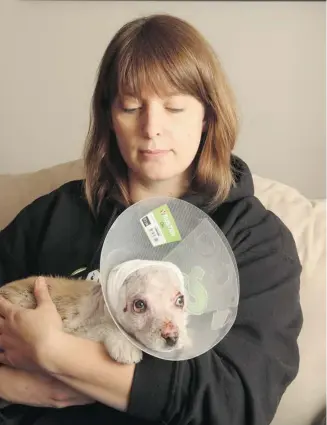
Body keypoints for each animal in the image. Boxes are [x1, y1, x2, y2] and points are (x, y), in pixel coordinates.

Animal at [0, 258, 190, 364]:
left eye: (180, 301)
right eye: (140, 305)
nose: (173, 338)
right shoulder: (75, 328)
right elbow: (101, 328)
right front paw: (125, 346)